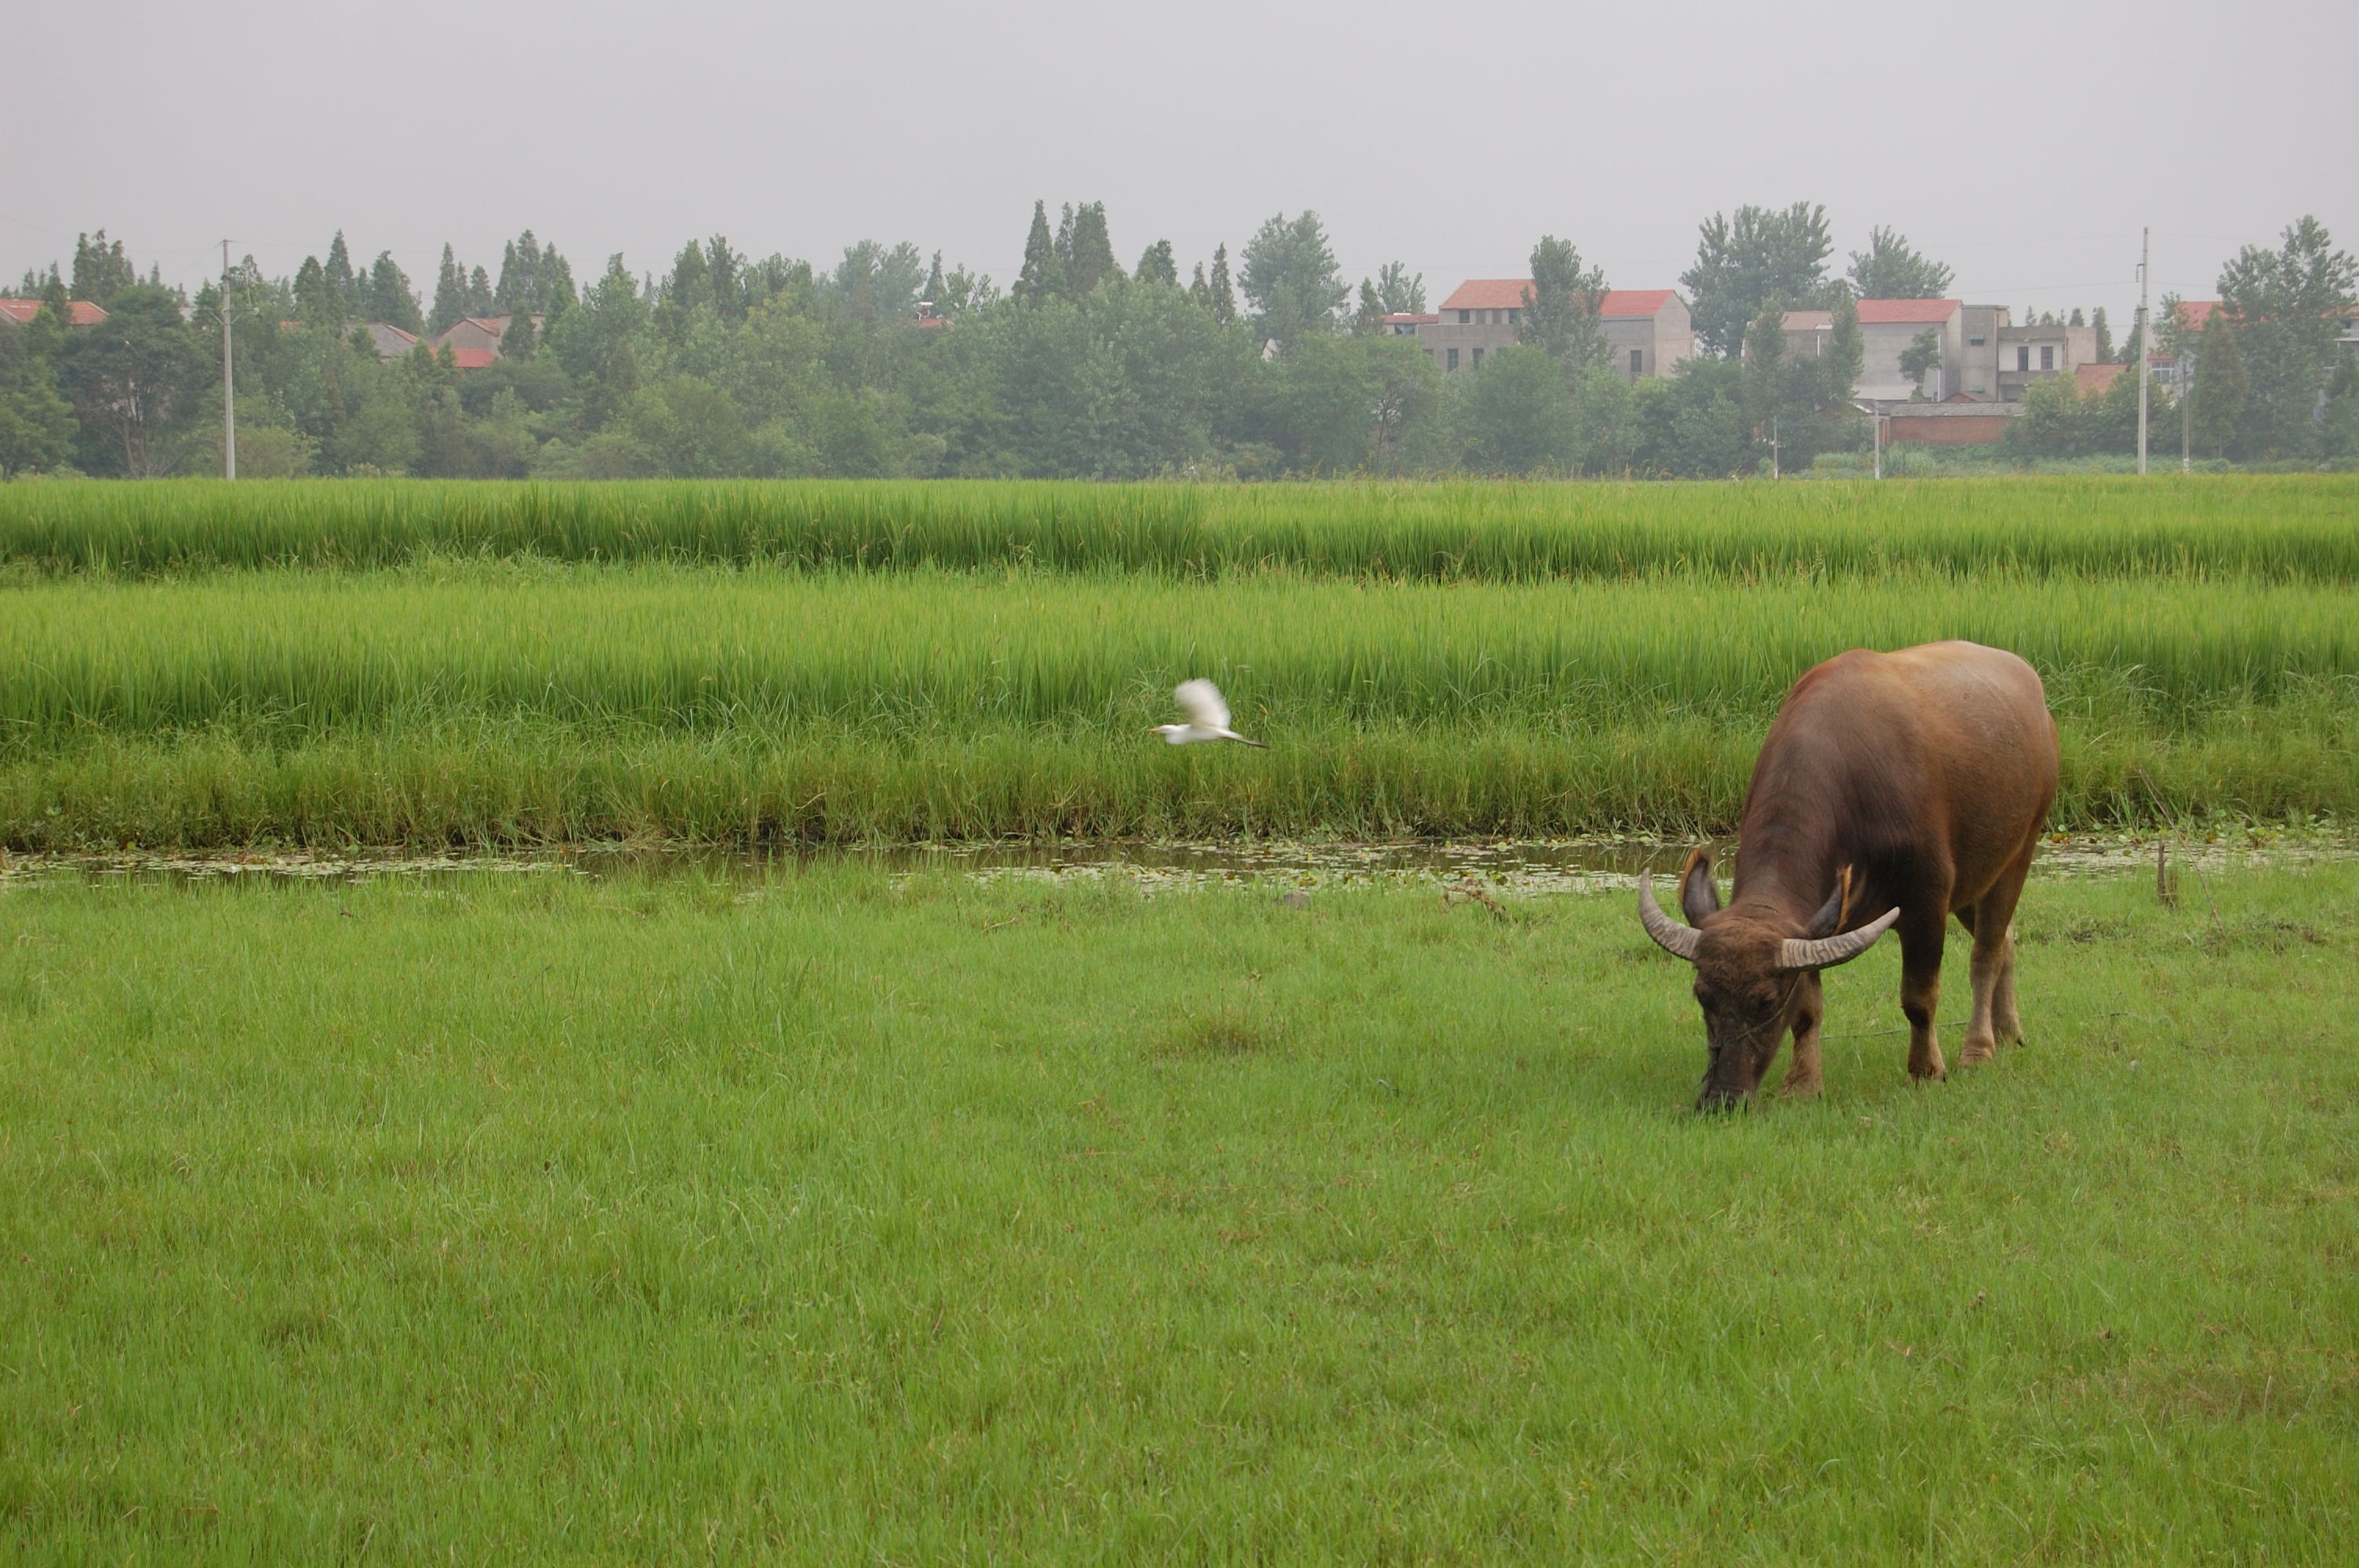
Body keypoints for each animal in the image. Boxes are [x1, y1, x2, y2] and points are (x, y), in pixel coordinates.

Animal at [1641, 641, 2066, 1108]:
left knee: (1986, 954)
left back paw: (1979, 1050)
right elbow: (1808, 1011)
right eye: (1703, 996)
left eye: (1766, 1000)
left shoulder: (1926, 904)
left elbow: (1919, 998)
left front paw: (1927, 1071)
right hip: (1975, 881)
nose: (1722, 1098)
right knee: (2006, 940)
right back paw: (2008, 1033)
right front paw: (1803, 1084)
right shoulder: (1811, 925)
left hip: (2018, 855)